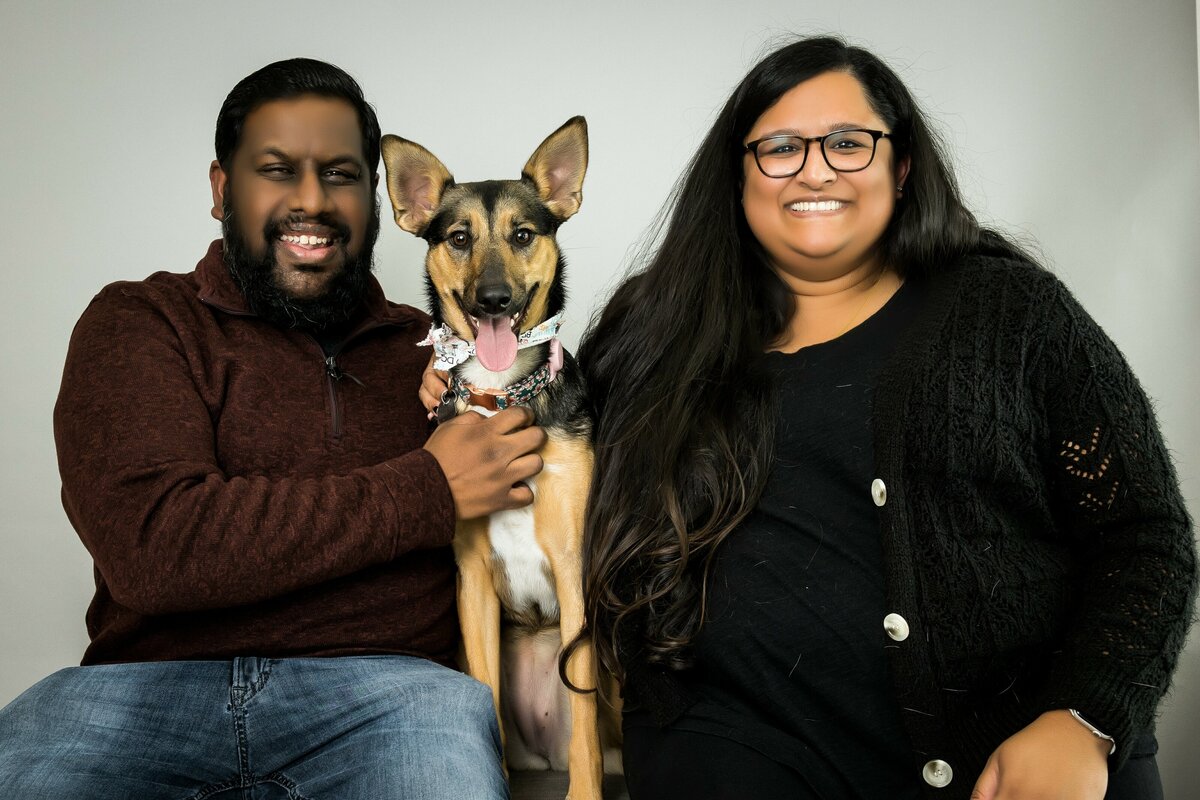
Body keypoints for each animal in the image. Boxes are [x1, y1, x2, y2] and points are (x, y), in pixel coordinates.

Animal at [381, 120, 619, 800]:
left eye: (523, 235)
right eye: (459, 238)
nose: (493, 298)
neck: (501, 393)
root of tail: (542, 754)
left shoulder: (573, 568)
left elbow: (583, 716)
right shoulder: (472, 583)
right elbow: (483, 696)